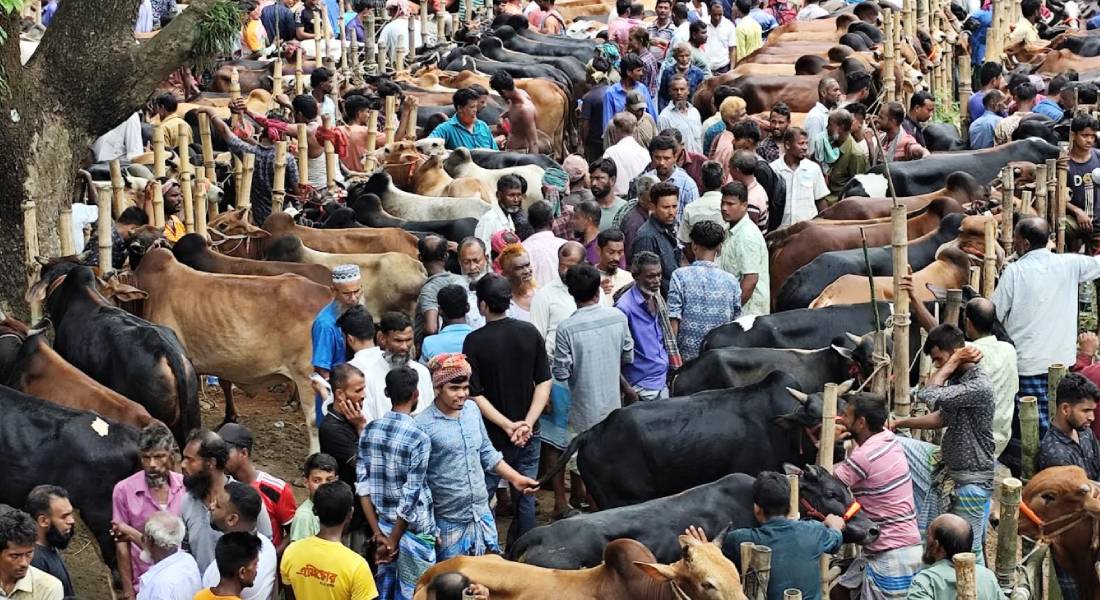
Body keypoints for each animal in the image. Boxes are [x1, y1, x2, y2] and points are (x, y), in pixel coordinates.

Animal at [540, 372, 851, 509]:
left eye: (844, 410)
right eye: (811, 418)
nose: (842, 445)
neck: (777, 426)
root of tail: (592, 432)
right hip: (619, 498)